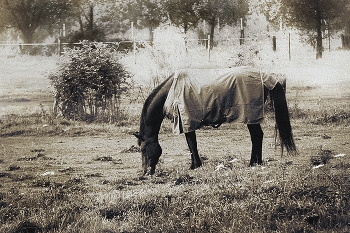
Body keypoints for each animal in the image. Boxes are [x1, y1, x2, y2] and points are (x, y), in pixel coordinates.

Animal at [133, 65, 296, 175]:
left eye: (143, 149)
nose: (145, 172)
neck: (172, 91)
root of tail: (265, 77)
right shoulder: (187, 122)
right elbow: (192, 144)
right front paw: (194, 165)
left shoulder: (187, 121)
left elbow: (192, 144)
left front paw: (195, 165)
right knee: (257, 136)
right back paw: (256, 162)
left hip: (250, 115)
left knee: (257, 136)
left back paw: (253, 162)